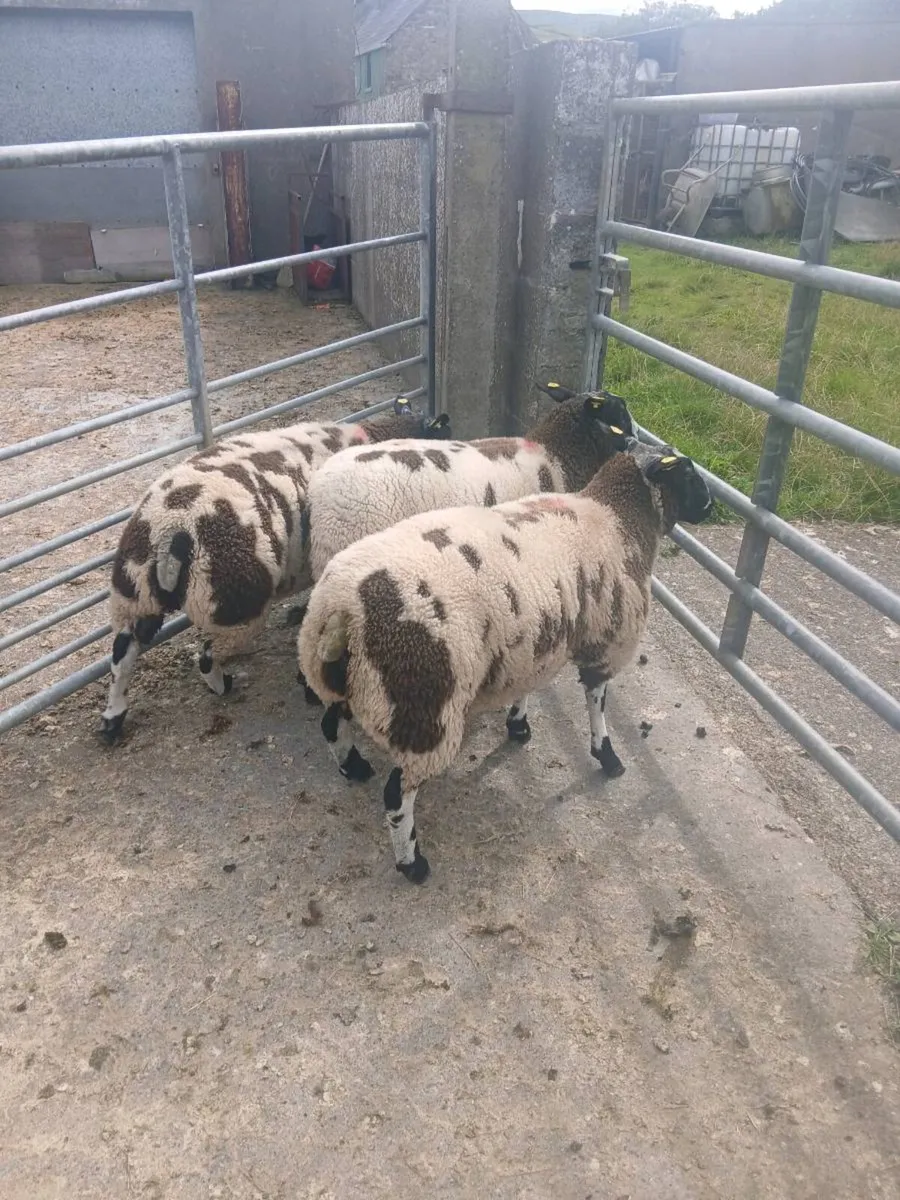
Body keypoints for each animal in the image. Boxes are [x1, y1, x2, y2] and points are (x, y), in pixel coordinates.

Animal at [100, 399, 451, 742]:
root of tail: (172, 531)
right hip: (237, 604)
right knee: (206, 655)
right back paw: (221, 685)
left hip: (133, 595)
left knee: (123, 652)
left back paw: (112, 719)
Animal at [297, 437, 714, 883]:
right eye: (688, 473)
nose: (710, 505)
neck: (616, 518)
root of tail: (340, 609)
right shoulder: (606, 639)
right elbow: (597, 703)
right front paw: (607, 756)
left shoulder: (533, 637)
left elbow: (528, 683)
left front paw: (518, 725)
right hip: (424, 706)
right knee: (397, 795)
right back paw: (413, 864)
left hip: (347, 680)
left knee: (330, 725)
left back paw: (353, 767)